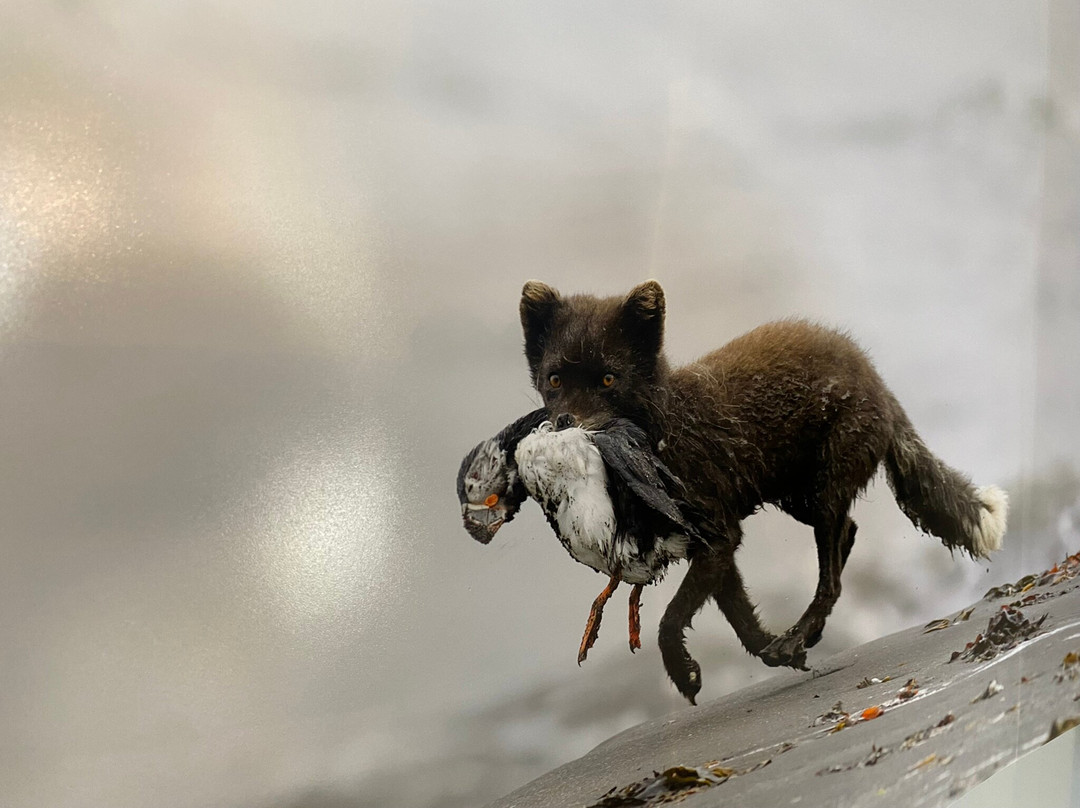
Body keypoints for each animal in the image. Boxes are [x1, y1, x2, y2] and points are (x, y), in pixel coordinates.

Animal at [520, 279, 1008, 703]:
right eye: (555, 379)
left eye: (608, 379)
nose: (566, 425)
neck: (665, 431)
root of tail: (872, 374)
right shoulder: (714, 545)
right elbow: (739, 619)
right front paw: (771, 653)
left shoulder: (718, 538)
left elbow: (670, 619)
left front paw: (685, 672)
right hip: (797, 497)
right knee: (847, 534)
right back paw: (804, 634)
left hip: (823, 488)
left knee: (832, 574)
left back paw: (803, 631)